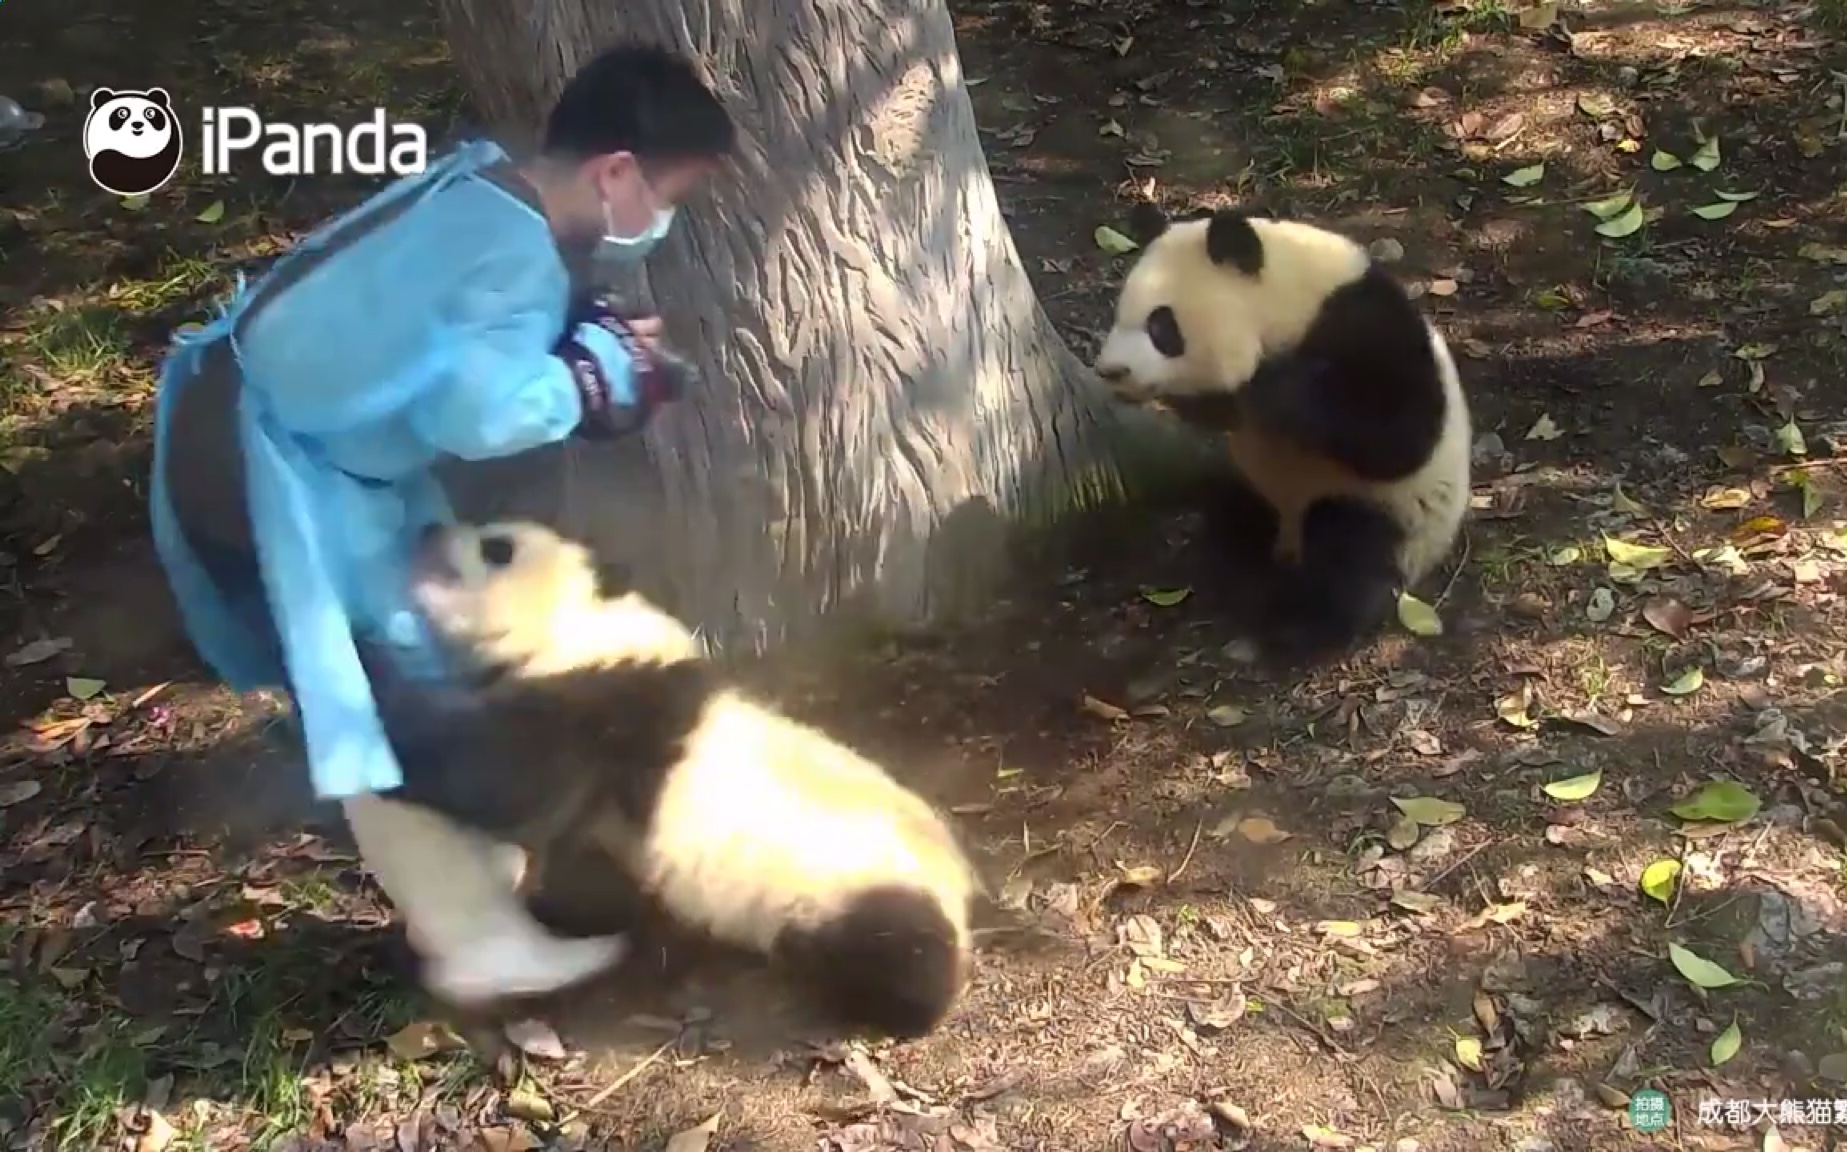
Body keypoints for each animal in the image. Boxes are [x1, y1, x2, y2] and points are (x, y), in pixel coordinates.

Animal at [365, 520, 989, 1041]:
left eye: (498, 547)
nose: (428, 529)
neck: (582, 620)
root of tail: (960, 887)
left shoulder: (611, 705)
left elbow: (500, 774)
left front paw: (369, 672)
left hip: (856, 884)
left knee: (905, 952)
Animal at [1093, 202, 1470, 660]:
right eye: (1119, 314)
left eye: (1161, 326)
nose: (1111, 370)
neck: (1287, 301)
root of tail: (1287, 545)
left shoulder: (1363, 325)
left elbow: (1399, 435)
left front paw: (1277, 387)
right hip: (1256, 485)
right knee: (1231, 512)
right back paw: (1237, 574)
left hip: (1396, 512)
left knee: (1347, 550)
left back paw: (1301, 625)